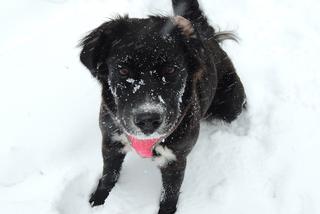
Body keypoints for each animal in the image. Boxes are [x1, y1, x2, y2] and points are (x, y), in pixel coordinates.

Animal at [79, 0, 246, 213]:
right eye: (123, 71)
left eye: (170, 70)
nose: (148, 120)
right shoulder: (111, 140)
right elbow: (109, 175)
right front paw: (98, 200)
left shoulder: (175, 159)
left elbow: (170, 193)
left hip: (231, 104)